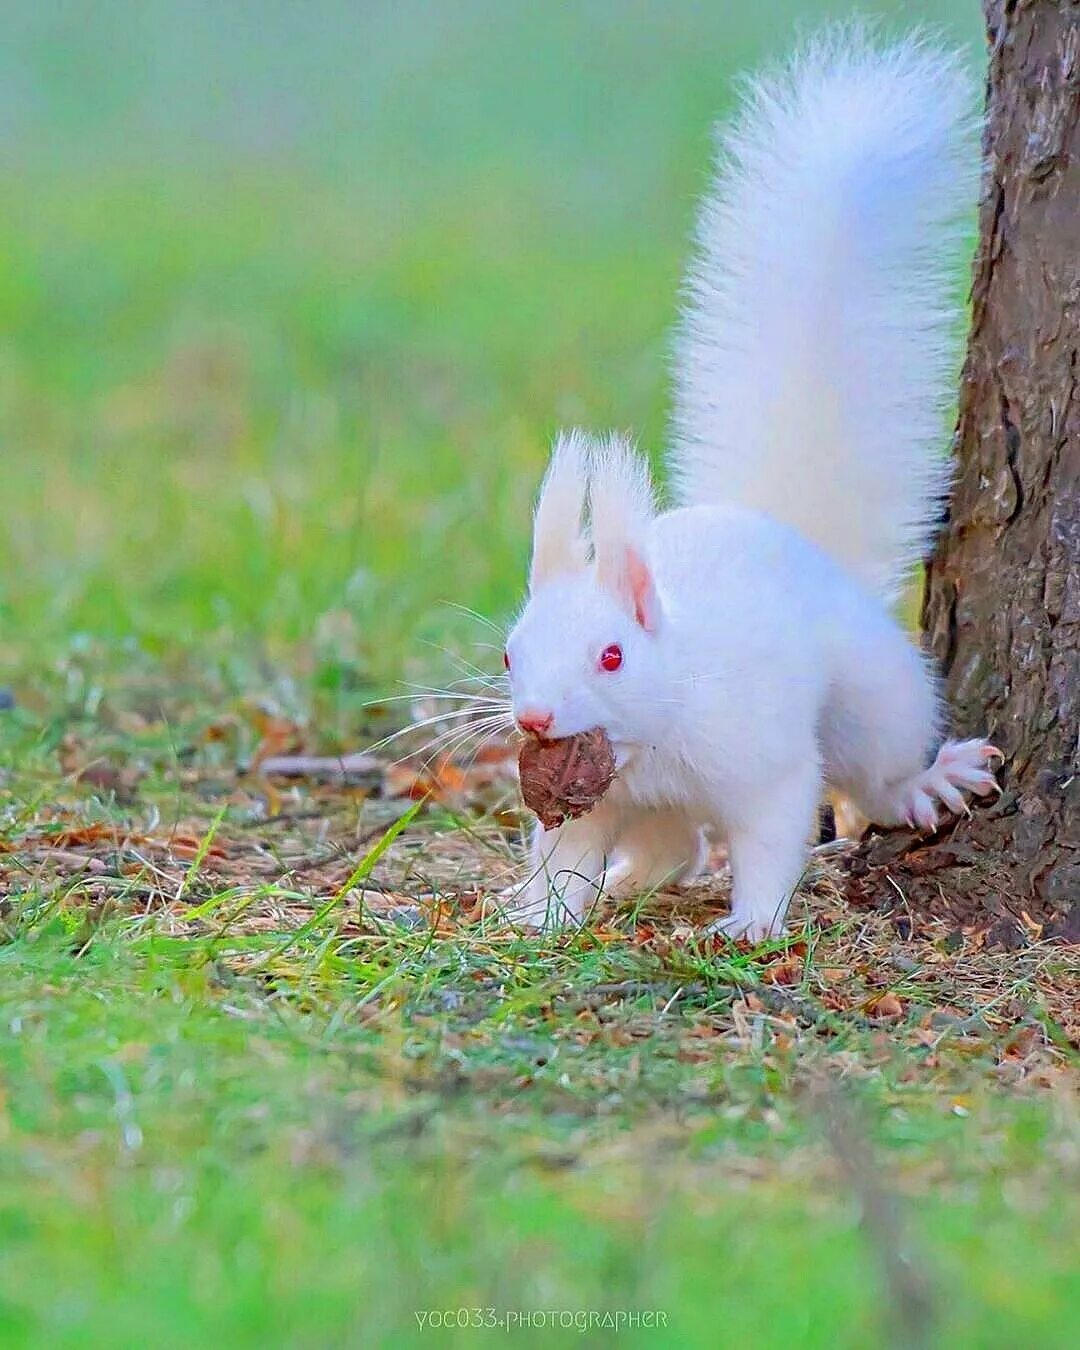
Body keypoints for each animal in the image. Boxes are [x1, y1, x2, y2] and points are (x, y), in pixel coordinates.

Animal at [502, 29, 999, 939]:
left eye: (613, 655)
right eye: (509, 653)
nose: (535, 720)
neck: (647, 743)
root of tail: (799, 541)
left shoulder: (761, 756)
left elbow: (773, 832)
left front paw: (754, 922)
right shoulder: (592, 802)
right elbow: (564, 857)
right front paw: (542, 913)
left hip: (872, 700)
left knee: (872, 776)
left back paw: (927, 782)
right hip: (660, 812)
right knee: (674, 849)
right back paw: (626, 879)